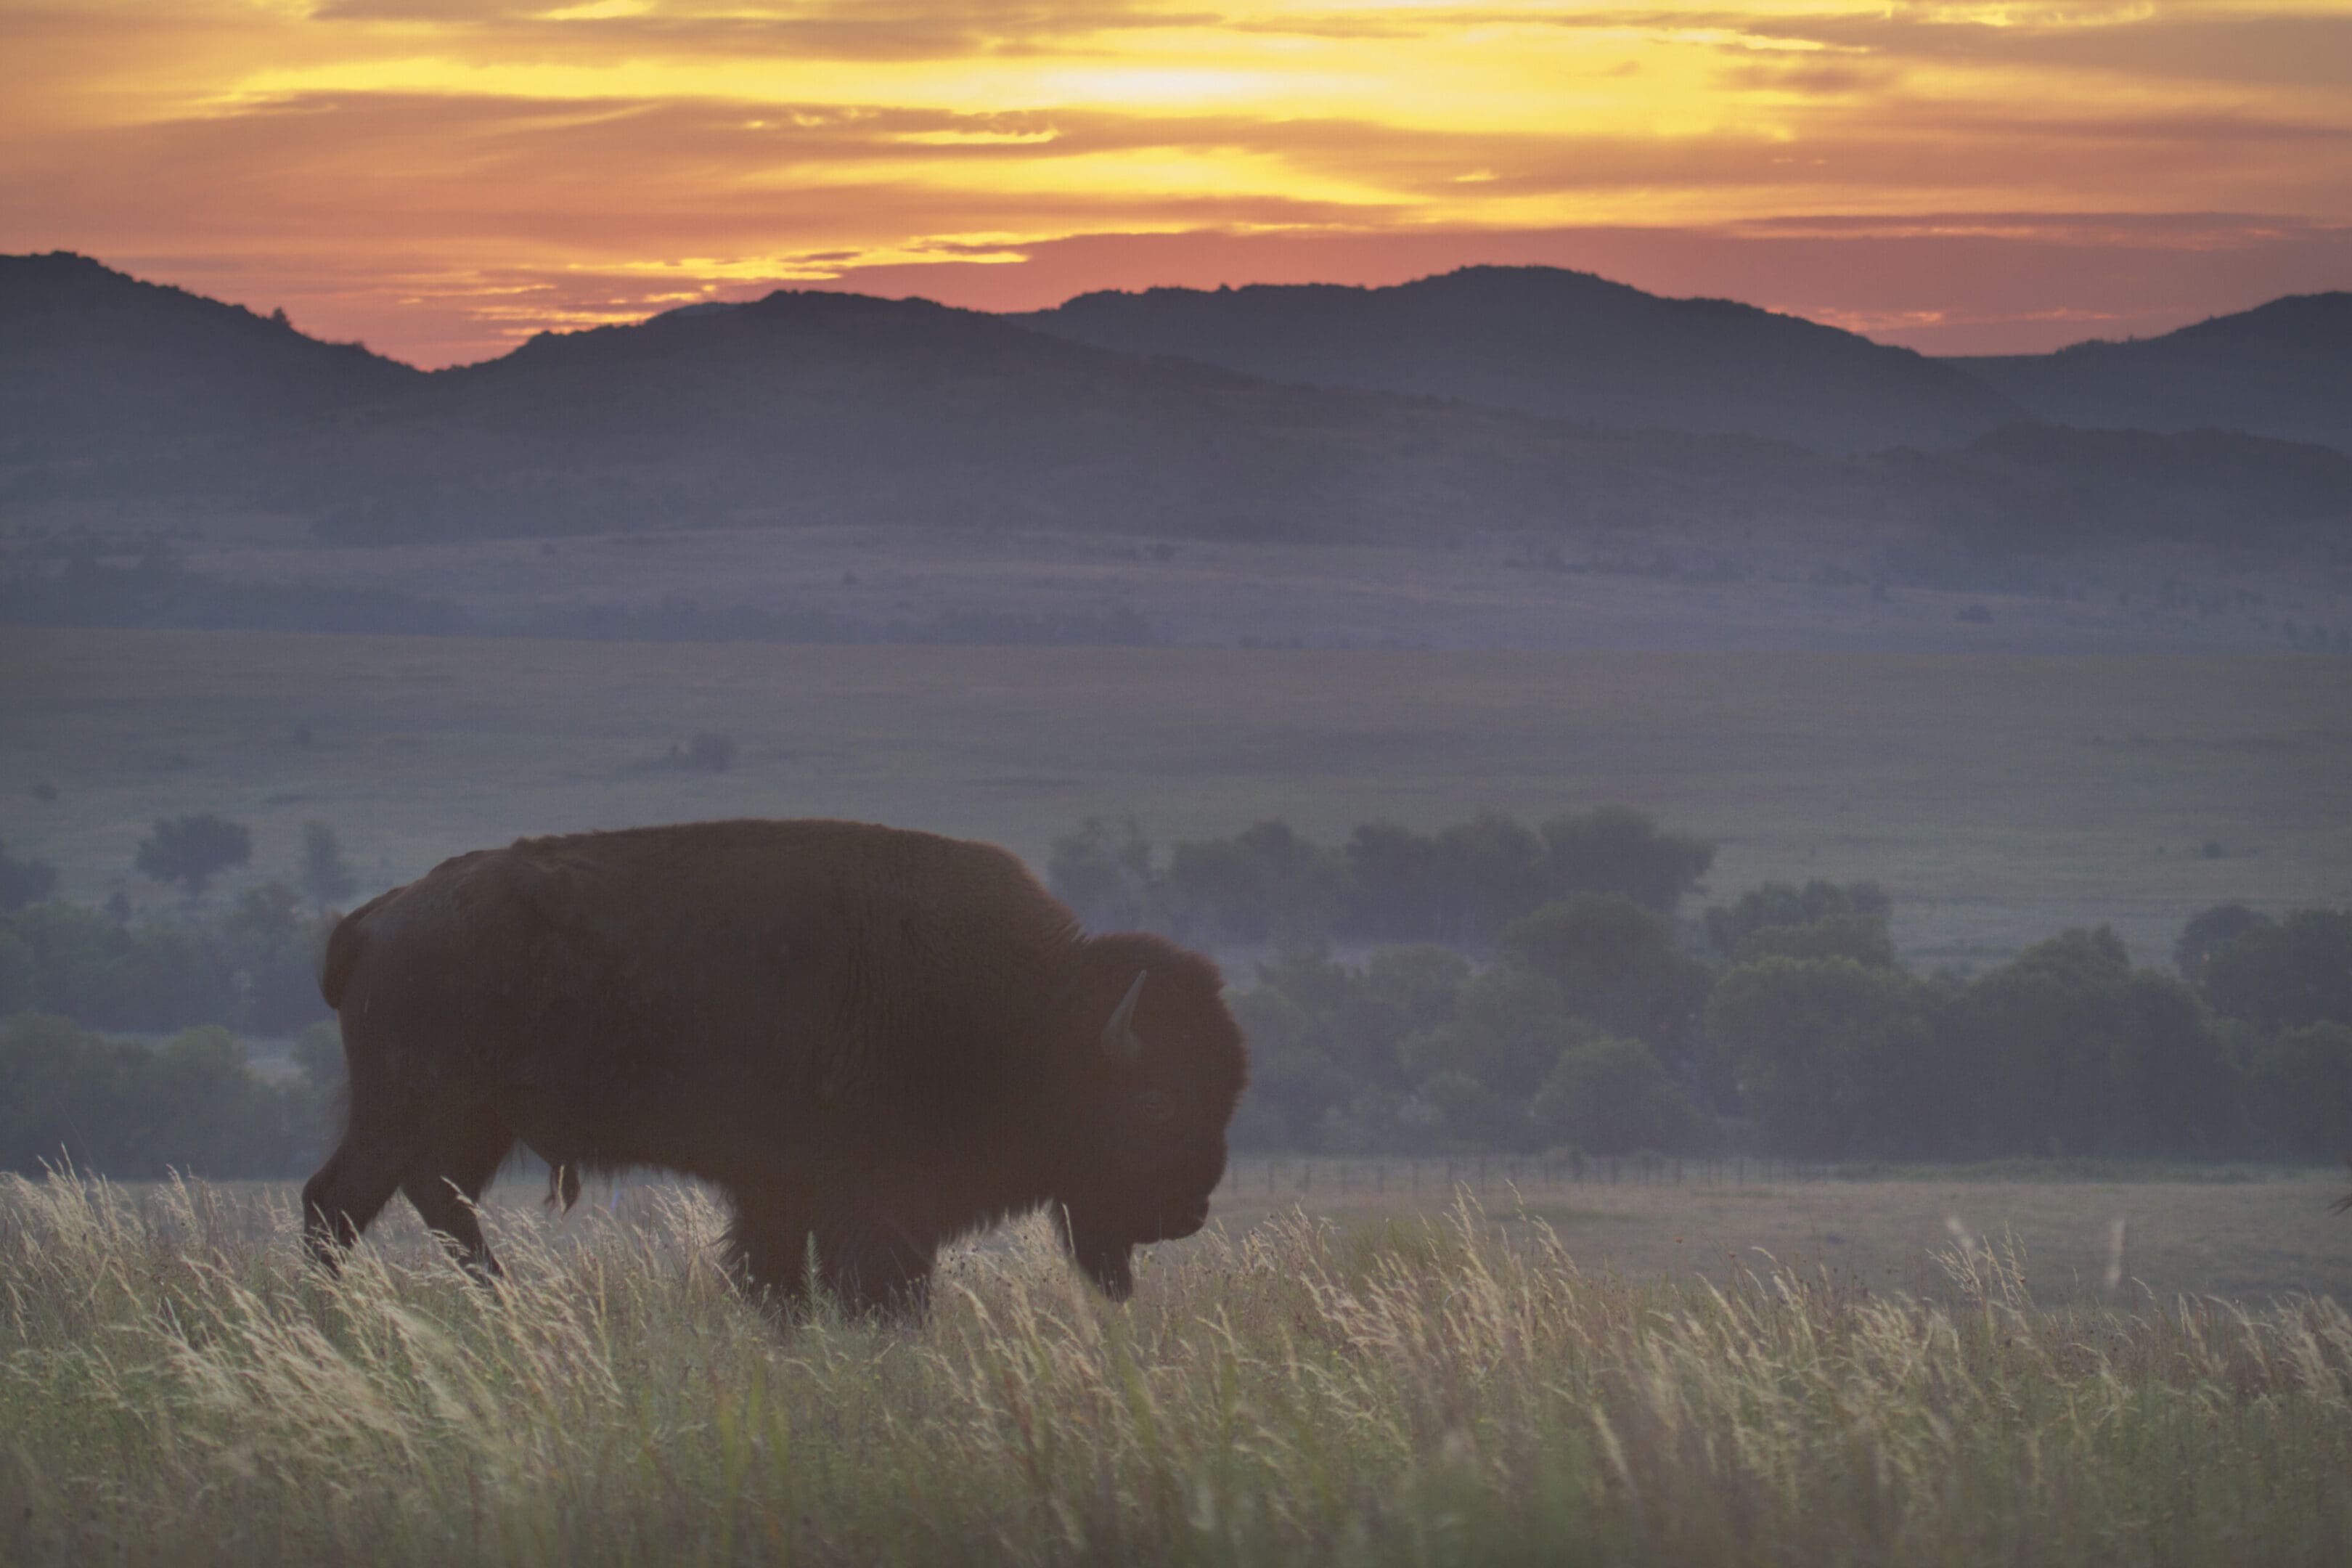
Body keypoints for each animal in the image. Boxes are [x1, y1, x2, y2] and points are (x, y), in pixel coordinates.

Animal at [301, 819, 1249, 1317]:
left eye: (1229, 1090)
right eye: (1159, 1101)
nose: (1191, 1211)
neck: (1030, 1012)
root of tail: (378, 920)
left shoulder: (780, 1192)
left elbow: (776, 1276)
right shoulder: (871, 1203)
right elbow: (870, 1288)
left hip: (471, 1124)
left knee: (434, 1206)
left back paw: (498, 1306)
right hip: (408, 1110)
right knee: (338, 1204)